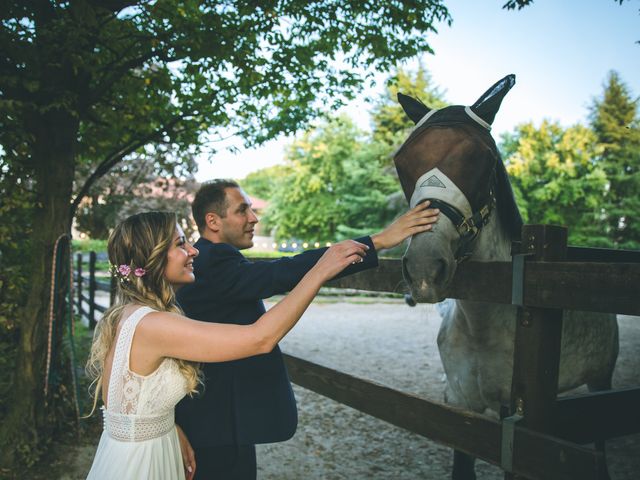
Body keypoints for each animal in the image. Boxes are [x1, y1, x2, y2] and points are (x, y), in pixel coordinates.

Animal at [392, 75, 616, 480]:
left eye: (483, 159)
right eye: (403, 161)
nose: (423, 270)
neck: (486, 324)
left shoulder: (519, 432)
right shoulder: (462, 407)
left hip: (600, 383)